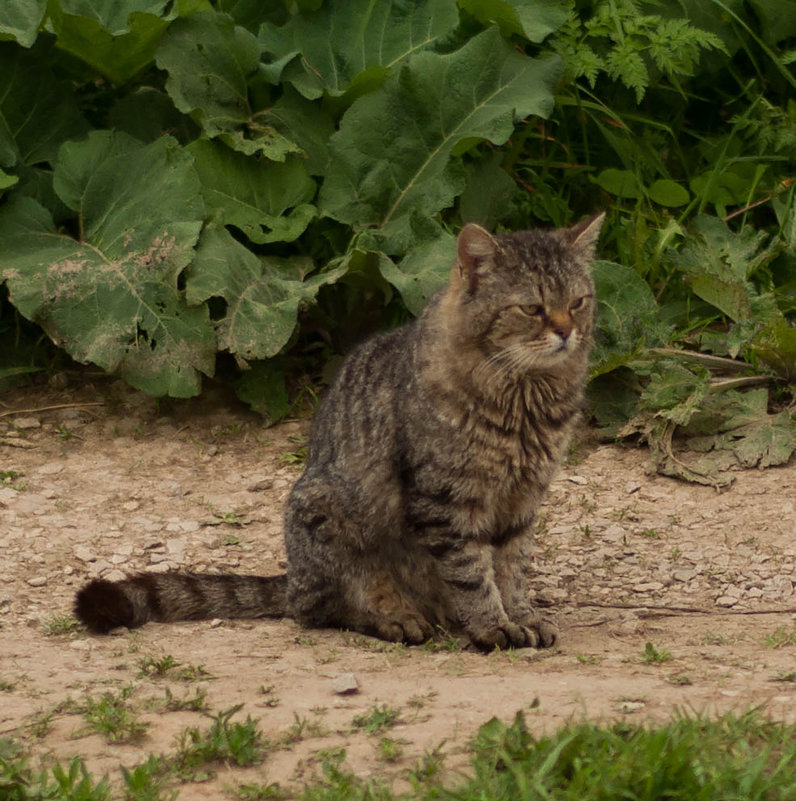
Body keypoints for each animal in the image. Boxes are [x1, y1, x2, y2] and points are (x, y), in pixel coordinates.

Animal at [77, 214, 608, 648]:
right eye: (532, 309)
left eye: (579, 302)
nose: (567, 331)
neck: (527, 400)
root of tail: (291, 577)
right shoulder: (447, 500)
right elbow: (472, 573)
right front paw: (493, 626)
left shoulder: (523, 499)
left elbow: (512, 569)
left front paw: (522, 615)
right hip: (325, 512)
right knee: (322, 610)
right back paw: (396, 619)